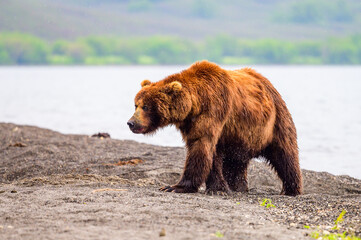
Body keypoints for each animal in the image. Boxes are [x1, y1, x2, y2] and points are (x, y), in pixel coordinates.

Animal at [128, 61, 302, 196]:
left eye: (146, 107)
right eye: (136, 104)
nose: (131, 123)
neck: (195, 104)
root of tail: (267, 82)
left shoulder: (214, 110)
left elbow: (201, 146)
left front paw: (175, 186)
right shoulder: (193, 123)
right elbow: (209, 153)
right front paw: (218, 187)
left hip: (275, 120)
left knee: (285, 153)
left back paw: (291, 189)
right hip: (240, 135)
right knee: (237, 160)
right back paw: (238, 186)